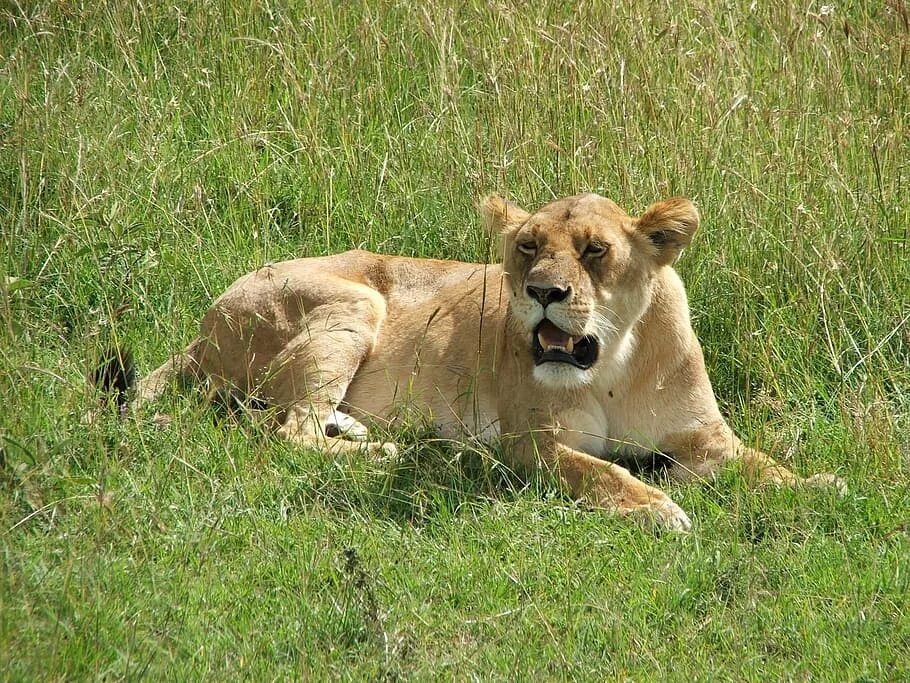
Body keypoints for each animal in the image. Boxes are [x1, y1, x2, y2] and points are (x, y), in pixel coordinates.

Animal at [121, 192, 840, 528]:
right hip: (352, 301)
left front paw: (817, 485)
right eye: (527, 247)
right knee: (287, 431)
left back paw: (362, 428)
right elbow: (600, 472)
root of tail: (201, 328)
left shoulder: (707, 437)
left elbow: (764, 465)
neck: (612, 361)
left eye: (595, 250)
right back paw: (401, 450)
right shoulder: (534, 442)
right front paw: (655, 508)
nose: (543, 292)